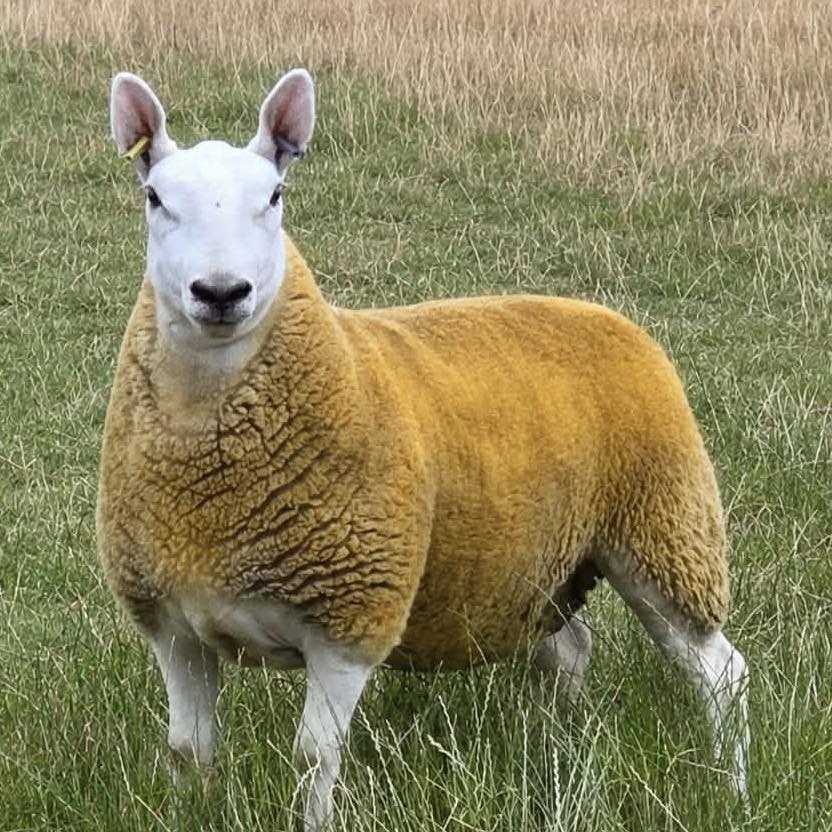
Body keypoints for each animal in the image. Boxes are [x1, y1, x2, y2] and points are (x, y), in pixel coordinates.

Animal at [98, 68, 750, 831]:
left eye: (275, 197)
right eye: (155, 197)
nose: (222, 292)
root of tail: (606, 315)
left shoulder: (351, 619)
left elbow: (314, 758)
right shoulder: (175, 626)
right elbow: (188, 755)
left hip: (663, 531)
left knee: (722, 674)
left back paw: (731, 790)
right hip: (536, 565)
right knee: (570, 651)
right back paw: (557, 753)